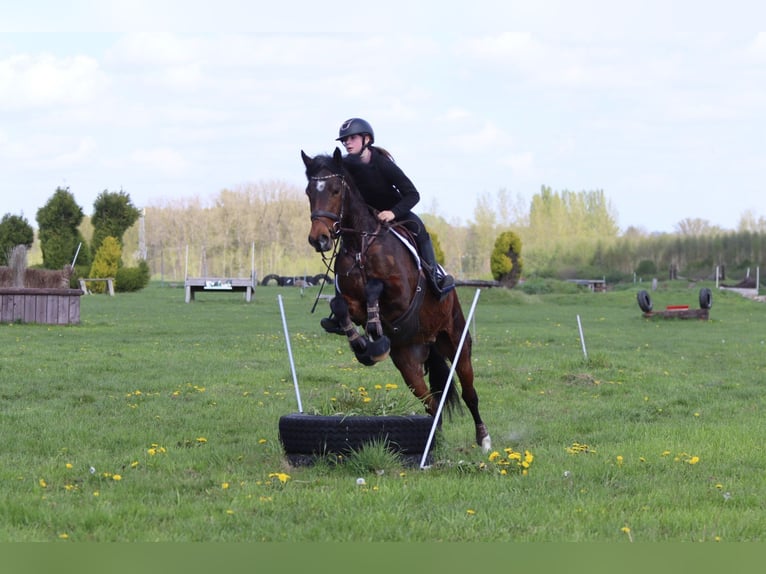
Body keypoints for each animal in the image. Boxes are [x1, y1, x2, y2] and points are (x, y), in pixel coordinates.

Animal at [301, 148, 491, 452]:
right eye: (309, 191)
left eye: (335, 190)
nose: (319, 239)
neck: (360, 244)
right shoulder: (351, 302)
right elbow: (339, 305)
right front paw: (363, 344)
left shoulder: (401, 296)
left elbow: (374, 288)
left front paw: (375, 334)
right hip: (408, 362)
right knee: (432, 404)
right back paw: (432, 442)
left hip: (457, 342)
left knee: (469, 392)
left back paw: (483, 439)